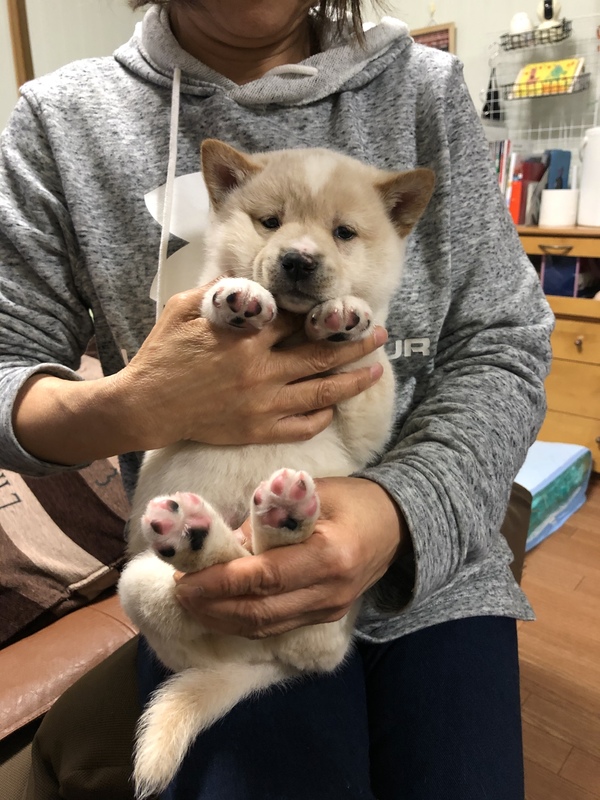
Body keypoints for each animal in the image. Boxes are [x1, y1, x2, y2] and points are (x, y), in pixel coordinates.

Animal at [118, 139, 434, 797]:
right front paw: (235, 295)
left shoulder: (362, 429)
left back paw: (280, 521)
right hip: (140, 586)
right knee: (202, 589)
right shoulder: (165, 407)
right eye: (270, 222)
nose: (296, 260)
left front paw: (347, 317)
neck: (290, 339)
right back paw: (202, 534)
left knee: (318, 645)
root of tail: (265, 662)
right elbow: (210, 294)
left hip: (328, 619)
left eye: (344, 233)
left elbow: (370, 367)